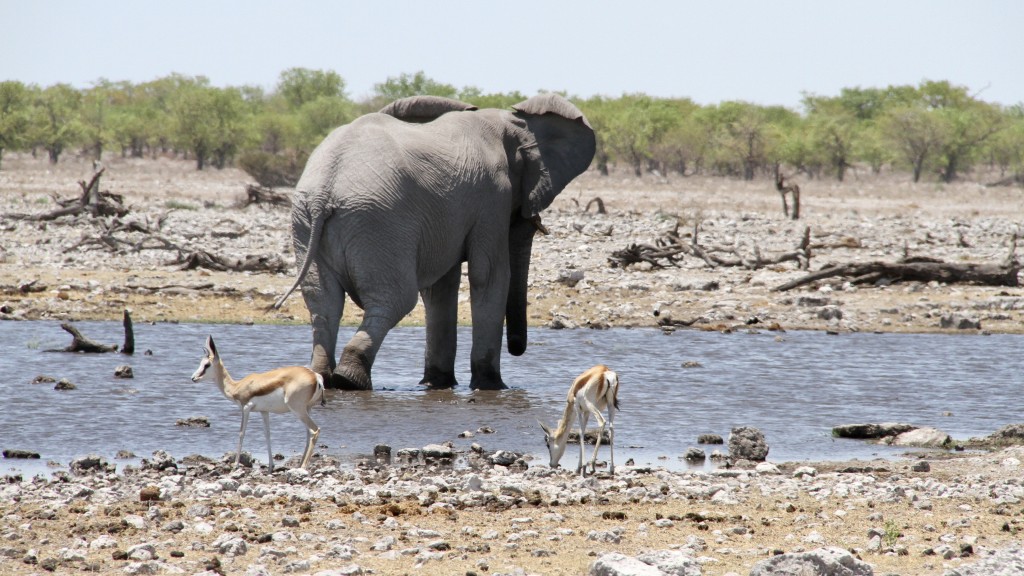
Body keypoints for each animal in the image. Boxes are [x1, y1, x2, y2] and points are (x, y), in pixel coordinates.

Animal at [189, 334, 323, 469]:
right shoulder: (264, 411)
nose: (193, 378)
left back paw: (303, 466)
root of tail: (315, 376)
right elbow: (267, 434)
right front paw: (271, 465)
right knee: (308, 434)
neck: (236, 386)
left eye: (207, 365)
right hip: (307, 409)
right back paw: (300, 464)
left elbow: (241, 433)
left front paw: (236, 464)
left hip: (297, 410)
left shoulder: (246, 408)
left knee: (315, 430)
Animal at [272, 95, 598, 389]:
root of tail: (324, 191)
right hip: (376, 222)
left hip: (307, 222)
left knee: (323, 303)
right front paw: (491, 387)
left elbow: (441, 287)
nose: (517, 349)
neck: (508, 123)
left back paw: (325, 377)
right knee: (395, 299)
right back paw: (350, 379)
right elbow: (489, 275)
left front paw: (438, 384)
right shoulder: (493, 197)